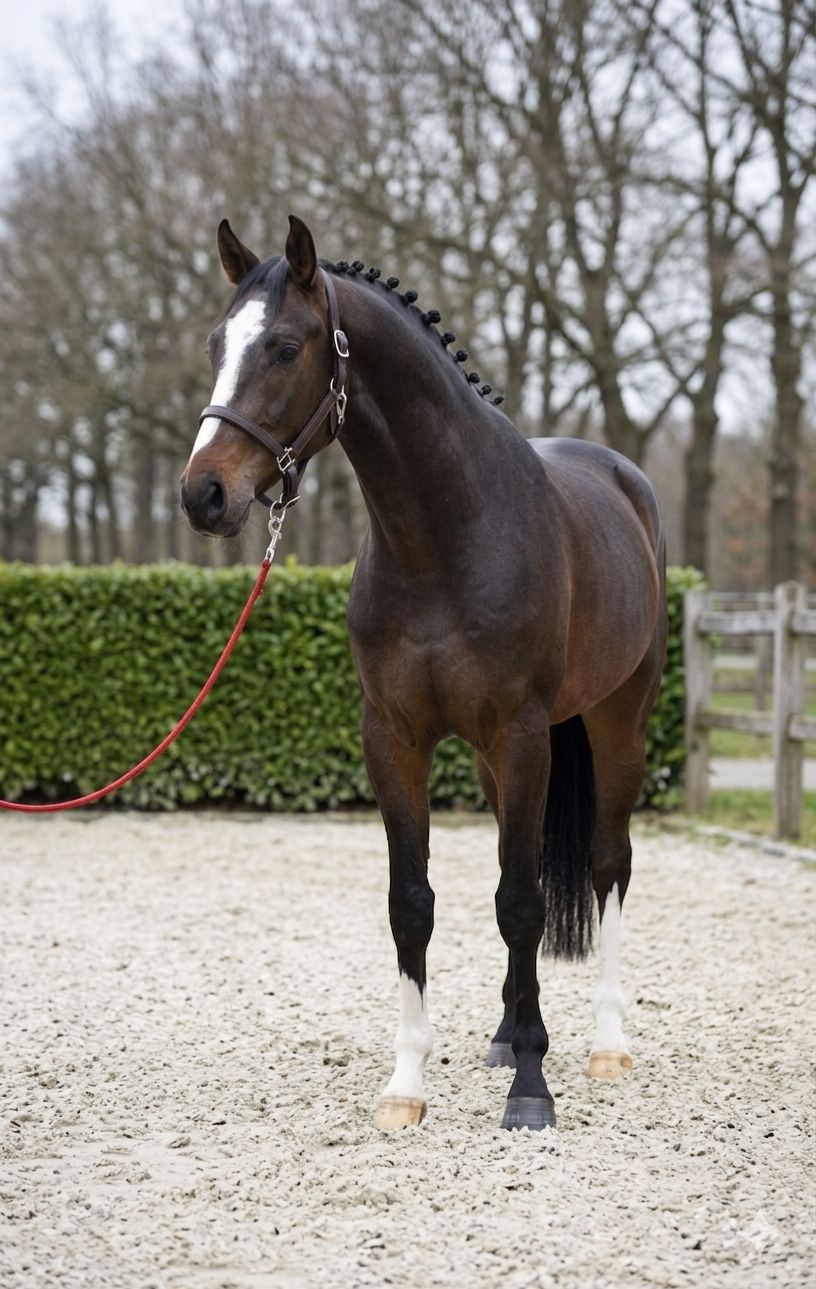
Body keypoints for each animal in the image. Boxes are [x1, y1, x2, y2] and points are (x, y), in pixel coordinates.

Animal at [180, 215, 667, 1133]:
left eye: (285, 347)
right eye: (219, 344)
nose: (205, 495)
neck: (447, 535)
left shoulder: (521, 734)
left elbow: (522, 901)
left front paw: (531, 1091)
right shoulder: (396, 738)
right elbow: (416, 902)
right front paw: (408, 1083)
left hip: (615, 724)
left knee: (607, 864)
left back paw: (605, 1045)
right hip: (494, 760)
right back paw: (509, 1036)